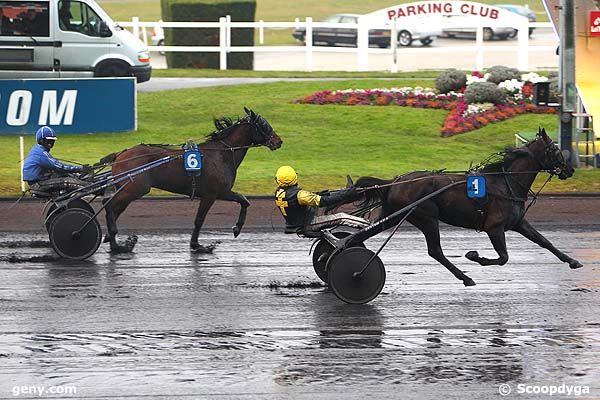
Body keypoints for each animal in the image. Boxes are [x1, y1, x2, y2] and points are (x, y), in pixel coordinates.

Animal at [101, 108, 284, 252]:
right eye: (264, 124)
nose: (279, 141)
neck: (221, 153)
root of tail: (120, 155)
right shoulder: (212, 194)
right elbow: (199, 219)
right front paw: (198, 245)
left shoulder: (221, 192)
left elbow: (244, 200)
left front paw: (236, 228)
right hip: (135, 189)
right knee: (109, 206)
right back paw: (116, 244)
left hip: (128, 189)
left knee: (115, 209)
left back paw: (111, 239)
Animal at [354, 126, 584, 286]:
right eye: (555, 149)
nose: (570, 170)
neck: (505, 183)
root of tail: (395, 181)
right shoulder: (494, 227)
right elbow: (503, 258)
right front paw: (475, 256)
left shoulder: (518, 222)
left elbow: (544, 241)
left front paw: (572, 261)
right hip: (427, 217)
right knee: (435, 251)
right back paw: (465, 278)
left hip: (394, 215)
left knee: (359, 236)